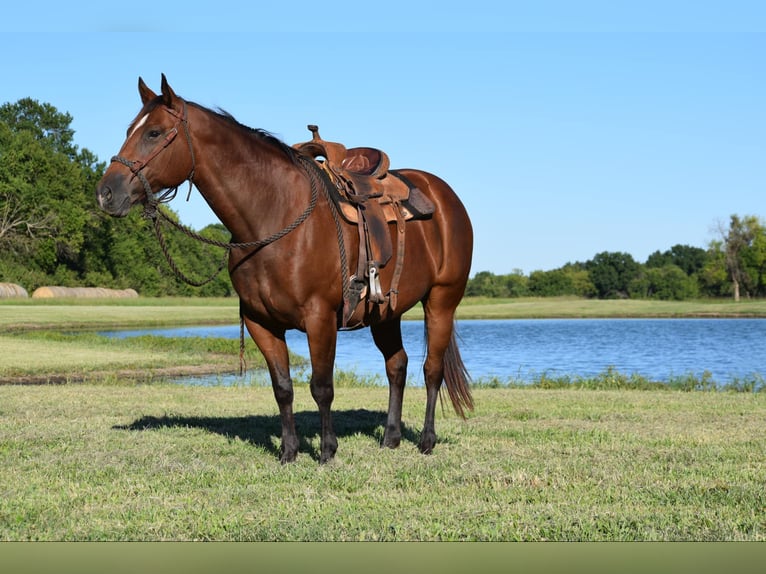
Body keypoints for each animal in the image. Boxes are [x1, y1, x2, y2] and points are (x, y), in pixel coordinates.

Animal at [96, 75, 474, 463]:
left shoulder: (320, 318)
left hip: (441, 301)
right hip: (386, 313)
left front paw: (326, 451)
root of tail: (443, 195)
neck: (274, 216)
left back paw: (426, 440)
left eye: (154, 132)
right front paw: (289, 451)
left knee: (432, 370)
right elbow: (283, 387)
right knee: (397, 366)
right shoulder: (260, 322)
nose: (106, 192)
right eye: (130, 130)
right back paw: (391, 437)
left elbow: (321, 387)